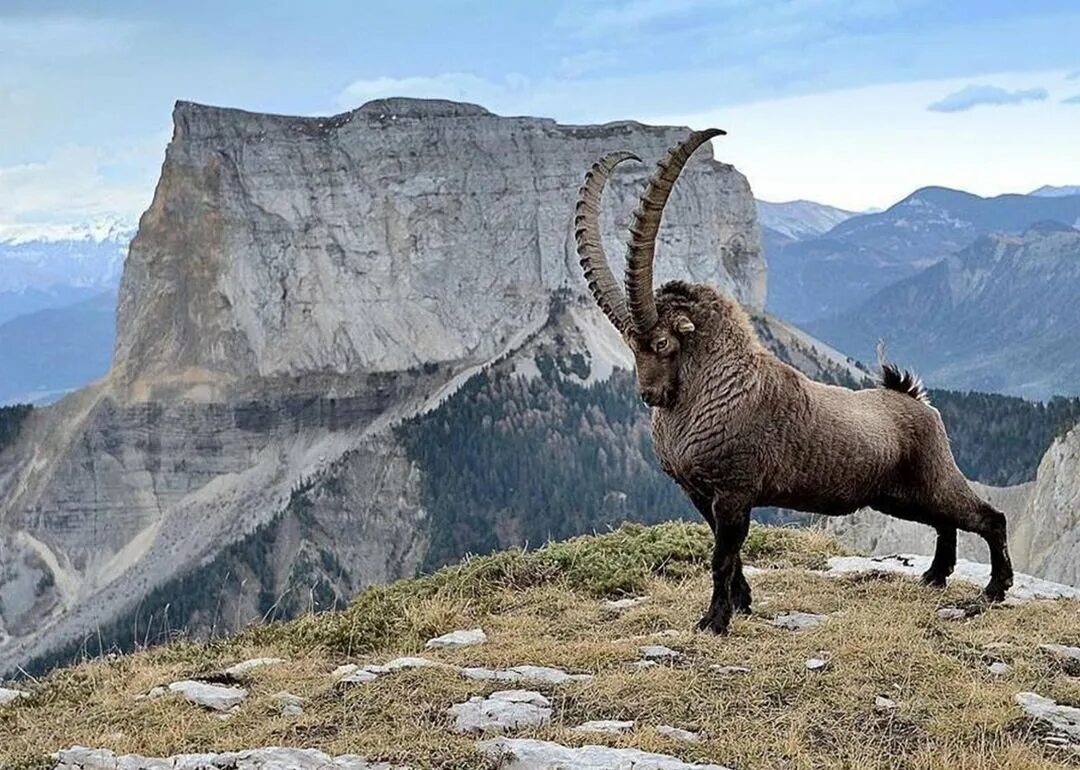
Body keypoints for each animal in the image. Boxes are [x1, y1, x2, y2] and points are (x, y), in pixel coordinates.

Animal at [574, 132, 1010, 635]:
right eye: (630, 344)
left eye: (662, 342)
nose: (650, 395)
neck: (716, 390)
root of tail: (917, 401)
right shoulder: (702, 496)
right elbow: (732, 557)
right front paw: (741, 604)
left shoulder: (734, 492)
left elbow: (722, 559)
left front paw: (715, 622)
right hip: (897, 496)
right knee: (944, 522)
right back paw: (936, 576)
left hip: (932, 478)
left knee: (987, 517)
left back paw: (996, 588)